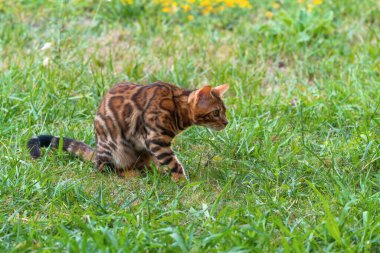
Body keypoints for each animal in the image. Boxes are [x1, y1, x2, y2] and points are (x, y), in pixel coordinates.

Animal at [27, 80, 229, 181]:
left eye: (225, 111)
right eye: (216, 112)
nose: (227, 122)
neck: (176, 107)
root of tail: (97, 152)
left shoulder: (153, 145)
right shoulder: (156, 140)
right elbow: (174, 163)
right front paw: (183, 182)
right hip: (114, 147)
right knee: (106, 169)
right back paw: (129, 173)